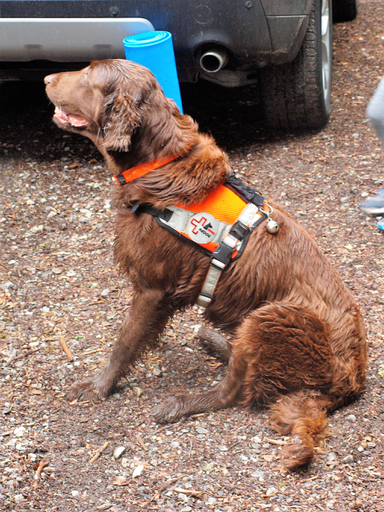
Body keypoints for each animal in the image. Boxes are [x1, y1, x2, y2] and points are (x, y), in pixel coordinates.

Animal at [44, 58, 366, 470]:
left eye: (88, 75)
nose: (46, 78)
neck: (159, 164)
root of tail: (351, 381)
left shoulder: (152, 287)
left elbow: (124, 342)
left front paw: (98, 386)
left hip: (271, 316)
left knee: (235, 392)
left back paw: (181, 404)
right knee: (245, 367)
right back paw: (215, 341)